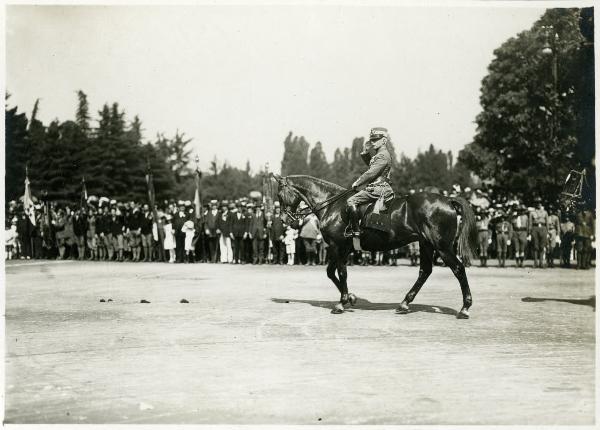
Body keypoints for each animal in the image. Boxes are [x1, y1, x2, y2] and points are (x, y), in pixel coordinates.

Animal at [276, 173, 478, 318]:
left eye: (279, 194)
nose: (285, 220)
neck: (333, 206)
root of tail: (448, 200)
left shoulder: (337, 247)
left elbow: (341, 272)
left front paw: (342, 303)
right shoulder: (342, 249)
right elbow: (331, 273)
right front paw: (351, 297)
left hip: (442, 247)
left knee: (458, 269)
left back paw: (465, 308)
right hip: (426, 244)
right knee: (425, 271)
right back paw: (404, 304)